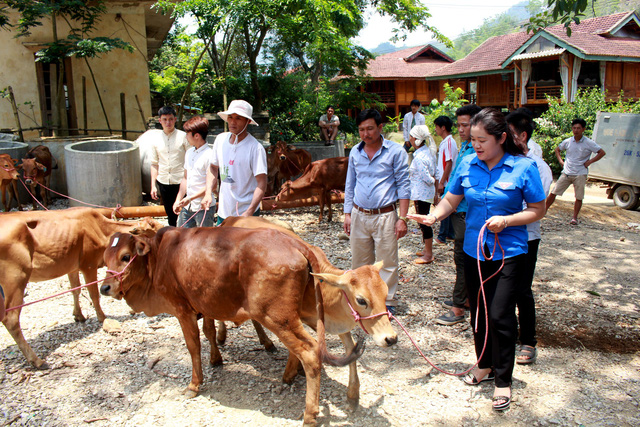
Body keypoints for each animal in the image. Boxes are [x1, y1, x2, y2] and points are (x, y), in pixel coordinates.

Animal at [0, 207, 162, 368]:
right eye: (152, 228)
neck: (100, 227)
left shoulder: (72, 267)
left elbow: (76, 290)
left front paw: (78, 315)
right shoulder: (88, 264)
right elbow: (94, 293)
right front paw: (102, 317)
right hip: (16, 279)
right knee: (11, 319)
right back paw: (36, 360)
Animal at [100, 226, 396, 426]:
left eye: (126, 257)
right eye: (105, 258)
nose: (105, 287)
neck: (160, 256)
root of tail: (296, 244)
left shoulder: (182, 309)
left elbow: (193, 346)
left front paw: (195, 384)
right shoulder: (206, 302)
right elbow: (209, 332)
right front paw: (216, 359)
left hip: (277, 317)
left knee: (311, 351)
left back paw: (310, 414)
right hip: (303, 311)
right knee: (341, 342)